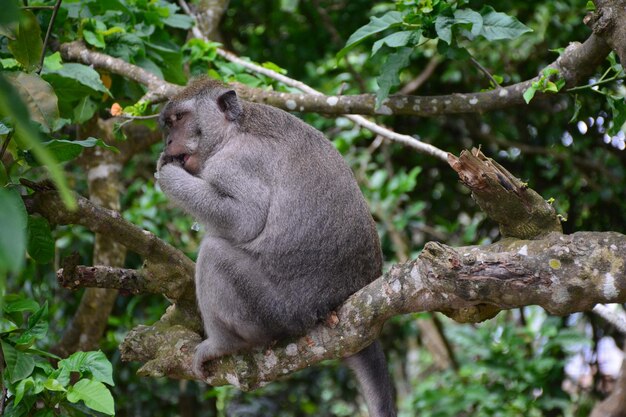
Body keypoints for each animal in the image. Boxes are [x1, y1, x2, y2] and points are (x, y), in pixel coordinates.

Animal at [157, 78, 394, 416]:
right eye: (168, 123)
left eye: (179, 119)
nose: (168, 142)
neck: (233, 131)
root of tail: (343, 298)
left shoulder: (234, 164)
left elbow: (245, 219)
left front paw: (166, 174)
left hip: (277, 311)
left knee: (214, 253)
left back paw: (222, 344)